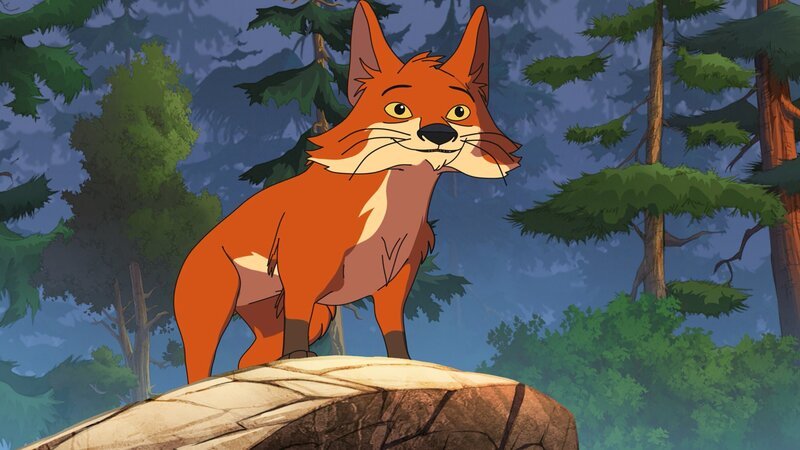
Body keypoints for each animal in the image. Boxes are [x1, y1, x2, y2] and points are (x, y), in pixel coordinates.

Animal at [174, 1, 520, 384]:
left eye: (459, 111)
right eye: (399, 109)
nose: (438, 133)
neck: (392, 210)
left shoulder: (395, 279)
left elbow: (393, 334)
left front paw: (404, 367)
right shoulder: (304, 271)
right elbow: (297, 328)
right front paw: (299, 358)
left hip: (304, 316)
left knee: (247, 358)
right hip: (213, 310)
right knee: (199, 368)